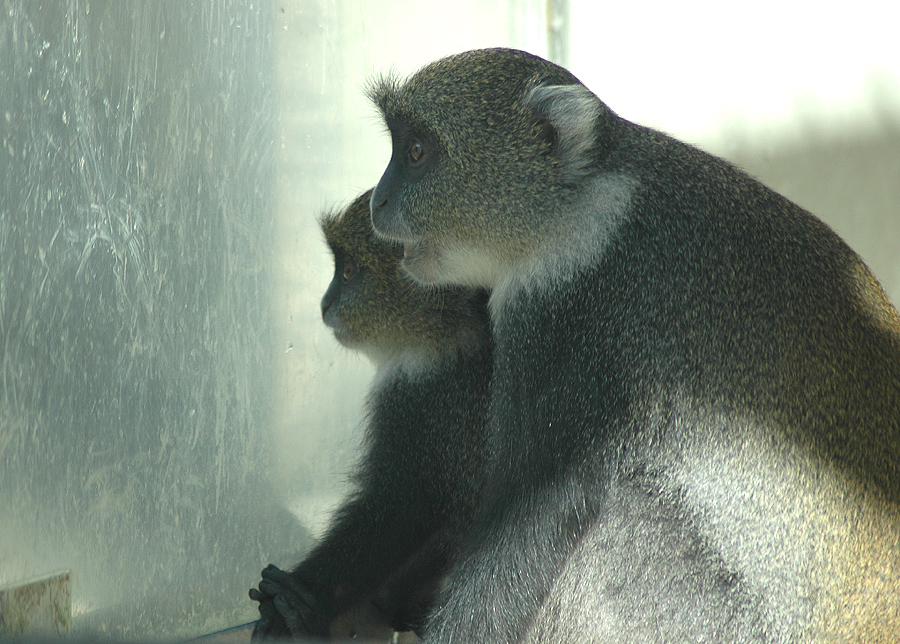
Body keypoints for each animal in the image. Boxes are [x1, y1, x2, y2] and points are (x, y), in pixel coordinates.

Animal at [368, 47, 900, 640]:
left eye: (417, 151)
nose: (378, 201)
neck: (584, 200)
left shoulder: (568, 311)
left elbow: (533, 517)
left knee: (625, 524)